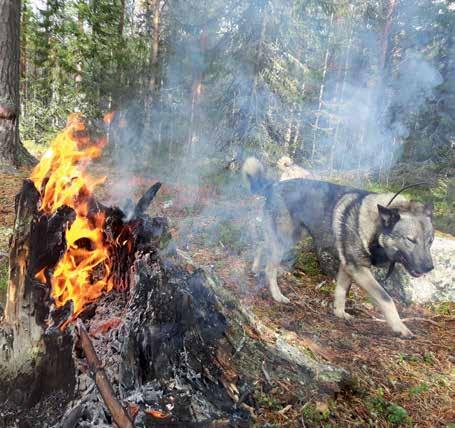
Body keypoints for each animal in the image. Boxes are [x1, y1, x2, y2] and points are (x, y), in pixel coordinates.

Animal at [242, 157, 434, 338]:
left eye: (430, 242)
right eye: (411, 240)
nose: (429, 268)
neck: (376, 228)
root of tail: (273, 186)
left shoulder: (347, 267)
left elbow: (341, 292)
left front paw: (340, 313)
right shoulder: (358, 269)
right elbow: (386, 298)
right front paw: (400, 328)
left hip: (291, 237)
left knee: (262, 245)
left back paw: (255, 268)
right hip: (285, 239)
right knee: (270, 268)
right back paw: (277, 295)